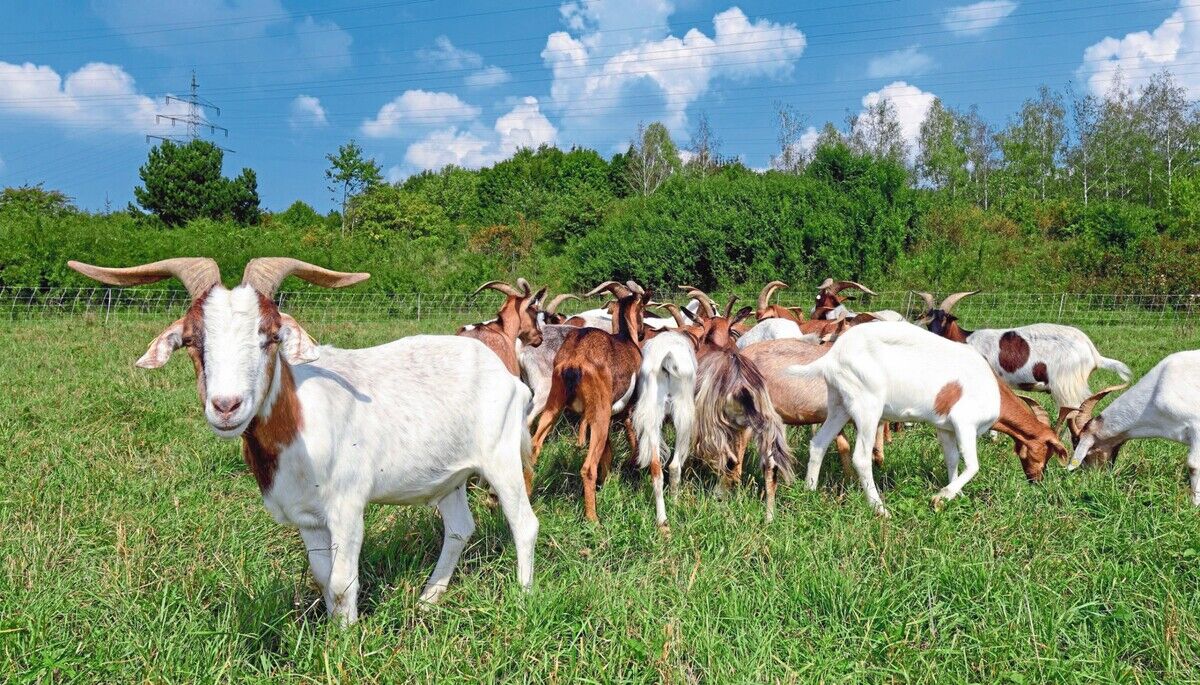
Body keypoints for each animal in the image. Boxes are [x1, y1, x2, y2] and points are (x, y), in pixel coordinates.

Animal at [68, 257, 538, 623]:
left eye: (270, 336)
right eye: (192, 340)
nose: (226, 406)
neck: (298, 425)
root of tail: (505, 373)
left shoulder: (347, 506)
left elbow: (344, 582)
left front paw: (347, 644)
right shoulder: (308, 519)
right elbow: (323, 580)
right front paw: (334, 632)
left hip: (501, 457)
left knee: (523, 522)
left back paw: (522, 596)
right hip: (449, 476)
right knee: (459, 528)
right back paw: (428, 599)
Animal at [530, 280, 650, 521]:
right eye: (643, 308)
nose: (643, 333)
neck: (625, 338)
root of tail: (574, 360)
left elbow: (608, 452)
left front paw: (607, 481)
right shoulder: (625, 410)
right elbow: (630, 437)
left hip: (554, 403)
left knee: (534, 447)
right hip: (599, 413)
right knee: (587, 467)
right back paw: (593, 520)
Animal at [788, 322, 1001, 516]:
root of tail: (832, 357)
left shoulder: (945, 427)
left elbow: (952, 458)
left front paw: (956, 495)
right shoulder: (965, 422)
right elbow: (973, 465)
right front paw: (942, 496)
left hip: (839, 404)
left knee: (819, 443)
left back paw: (809, 491)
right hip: (867, 404)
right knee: (861, 457)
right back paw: (880, 509)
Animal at [916, 291, 1132, 442]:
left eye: (945, 318)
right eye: (928, 321)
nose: (933, 336)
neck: (966, 340)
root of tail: (1093, 353)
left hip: (1066, 383)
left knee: (1075, 409)